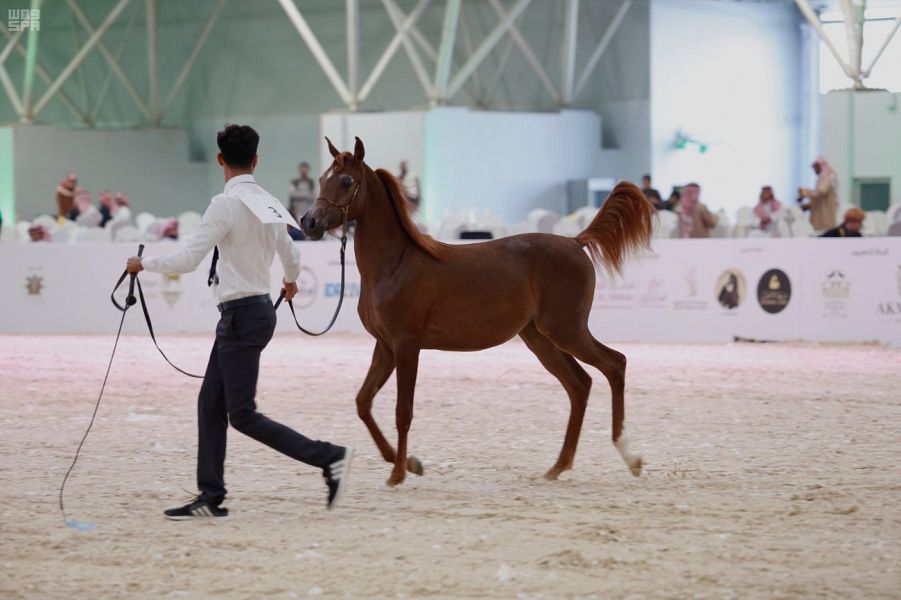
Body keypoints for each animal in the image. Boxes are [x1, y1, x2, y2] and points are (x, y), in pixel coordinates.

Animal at [302, 137, 652, 488]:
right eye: (321, 178)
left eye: (346, 181)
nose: (309, 222)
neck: (395, 264)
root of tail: (575, 241)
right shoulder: (385, 347)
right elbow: (364, 402)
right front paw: (410, 464)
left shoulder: (406, 345)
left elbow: (403, 411)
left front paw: (398, 473)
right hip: (541, 338)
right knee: (580, 385)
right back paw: (558, 467)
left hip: (567, 330)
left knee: (614, 364)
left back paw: (630, 456)